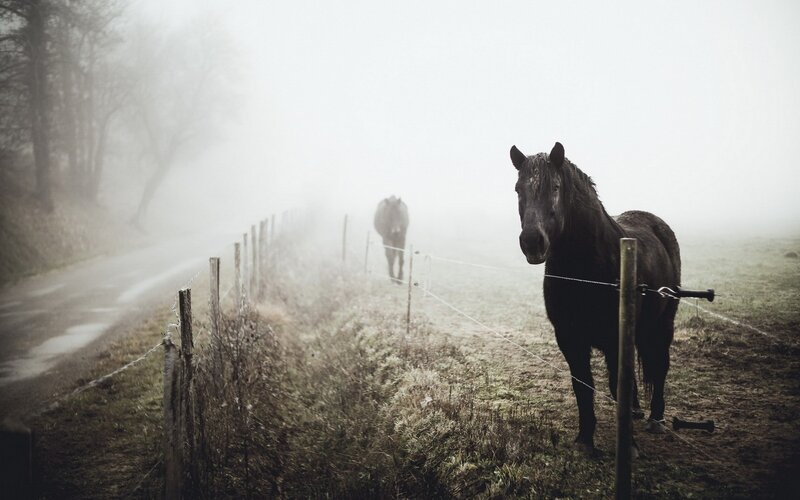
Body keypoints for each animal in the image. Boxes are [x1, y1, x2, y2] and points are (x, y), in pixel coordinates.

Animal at [510, 141, 681, 454]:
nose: (532, 242)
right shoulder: (569, 337)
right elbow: (583, 386)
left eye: (555, 187)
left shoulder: (614, 336)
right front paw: (585, 441)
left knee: (660, 366)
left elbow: (616, 384)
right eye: (518, 189)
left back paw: (656, 419)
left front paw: (628, 446)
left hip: (663, 324)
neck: (585, 271)